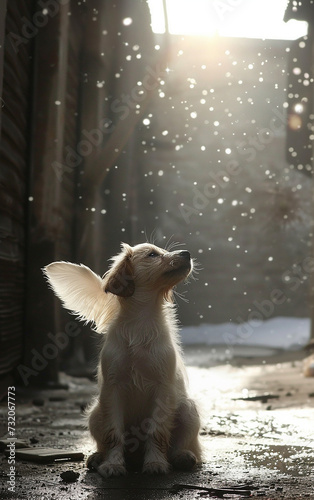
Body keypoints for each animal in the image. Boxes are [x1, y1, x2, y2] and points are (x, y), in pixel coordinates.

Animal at [43, 242, 201, 476]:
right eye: (152, 254)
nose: (187, 253)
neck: (140, 323)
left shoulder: (162, 390)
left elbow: (157, 431)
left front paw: (155, 463)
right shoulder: (113, 390)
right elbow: (114, 434)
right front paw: (113, 464)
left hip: (188, 410)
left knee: (184, 445)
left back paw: (182, 457)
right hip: (95, 413)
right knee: (103, 440)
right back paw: (98, 457)